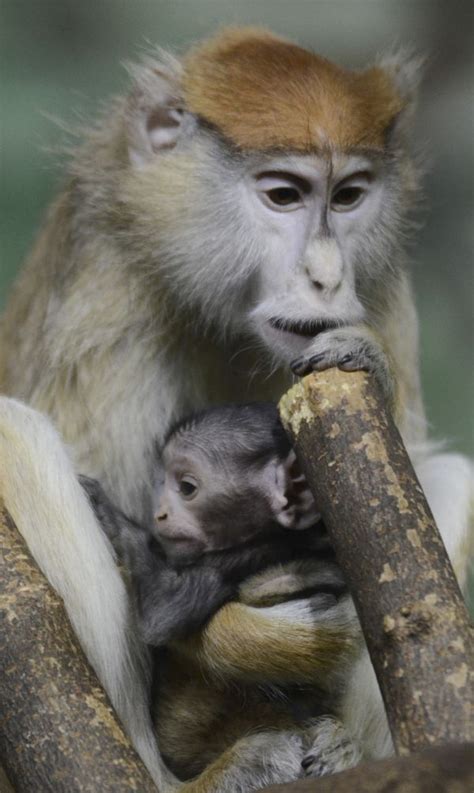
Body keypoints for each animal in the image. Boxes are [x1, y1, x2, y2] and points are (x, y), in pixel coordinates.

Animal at [0, 26, 472, 792]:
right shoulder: (107, 291)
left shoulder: (382, 287)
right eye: (283, 193)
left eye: (349, 195)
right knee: (13, 437)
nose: (327, 276)